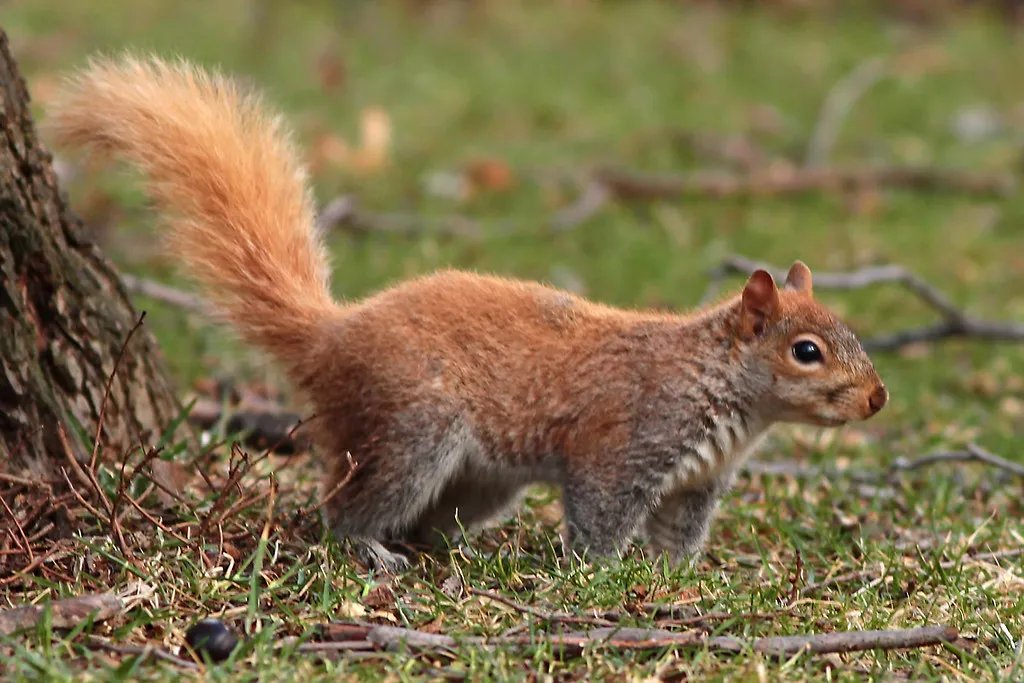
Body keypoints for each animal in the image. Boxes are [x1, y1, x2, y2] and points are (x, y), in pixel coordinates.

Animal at [46, 56, 888, 573]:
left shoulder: (697, 482)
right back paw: (372, 550)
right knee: (343, 508)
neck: (720, 385)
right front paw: (596, 573)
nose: (878, 398)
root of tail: (330, 338)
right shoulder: (623, 444)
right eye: (807, 349)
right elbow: (599, 513)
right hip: (409, 431)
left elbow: (679, 536)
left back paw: (450, 552)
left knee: (427, 518)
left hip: (479, 478)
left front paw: (675, 576)